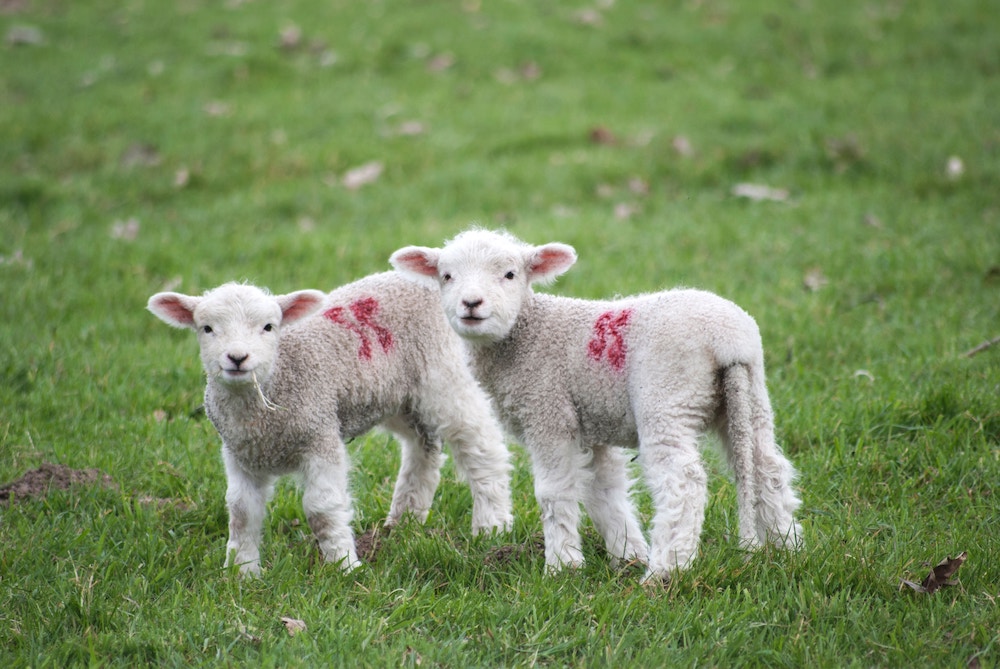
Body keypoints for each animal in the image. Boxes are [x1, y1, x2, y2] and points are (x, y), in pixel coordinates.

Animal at [148, 272, 516, 576]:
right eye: (207, 328)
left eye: (269, 327)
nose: (237, 358)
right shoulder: (240, 454)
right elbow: (241, 512)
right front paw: (243, 573)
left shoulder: (320, 435)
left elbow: (321, 510)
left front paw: (344, 566)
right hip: (397, 396)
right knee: (423, 447)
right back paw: (404, 522)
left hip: (445, 373)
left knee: (481, 447)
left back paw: (492, 526)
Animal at [390, 230, 804, 580]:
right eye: (446, 276)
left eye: (509, 274)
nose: (471, 304)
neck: (527, 335)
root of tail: (729, 340)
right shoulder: (592, 425)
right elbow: (604, 491)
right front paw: (627, 553)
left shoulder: (548, 412)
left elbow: (554, 491)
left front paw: (562, 566)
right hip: (749, 397)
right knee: (767, 467)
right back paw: (788, 549)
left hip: (667, 395)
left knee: (683, 481)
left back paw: (665, 571)